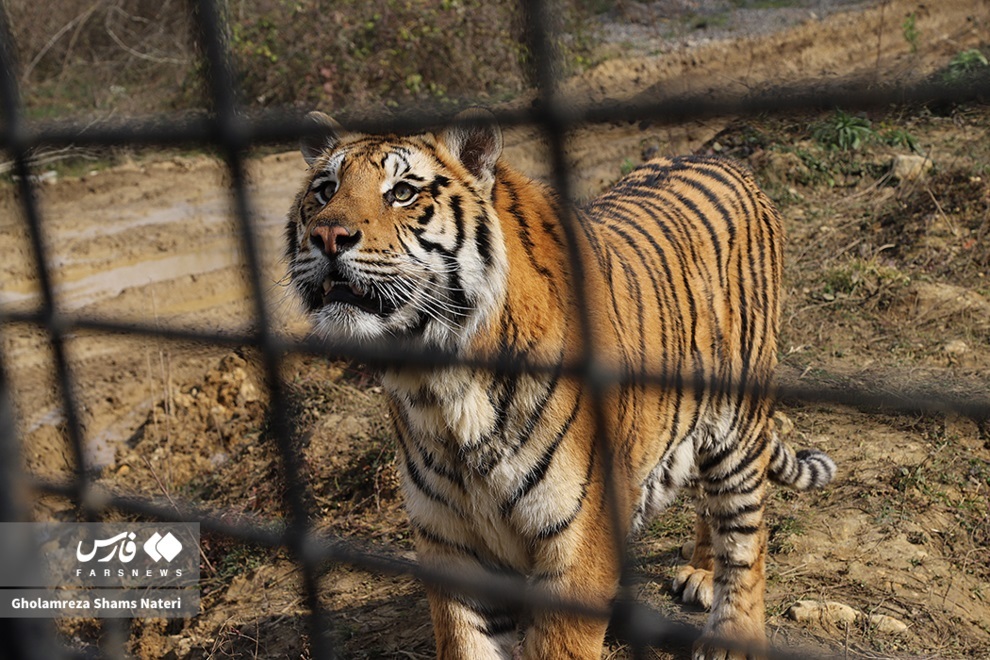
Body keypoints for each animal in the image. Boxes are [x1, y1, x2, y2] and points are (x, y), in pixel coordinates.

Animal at [284, 109, 836, 660]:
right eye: (325, 190)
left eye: (401, 192)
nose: (328, 235)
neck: (439, 388)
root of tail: (723, 161)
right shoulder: (450, 543)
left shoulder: (581, 538)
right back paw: (701, 568)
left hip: (737, 425)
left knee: (745, 534)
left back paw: (730, 635)